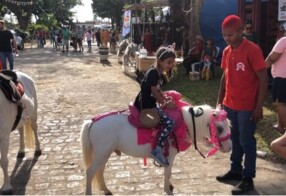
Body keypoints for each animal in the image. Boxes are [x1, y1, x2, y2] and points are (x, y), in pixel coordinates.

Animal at [80, 98, 232, 194]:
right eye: (219, 128)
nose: (229, 147)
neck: (183, 124)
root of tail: (92, 122)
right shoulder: (169, 157)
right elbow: (168, 173)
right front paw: (167, 189)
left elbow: (168, 174)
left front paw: (169, 186)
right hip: (102, 154)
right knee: (90, 172)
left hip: (104, 154)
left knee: (99, 170)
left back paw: (105, 189)